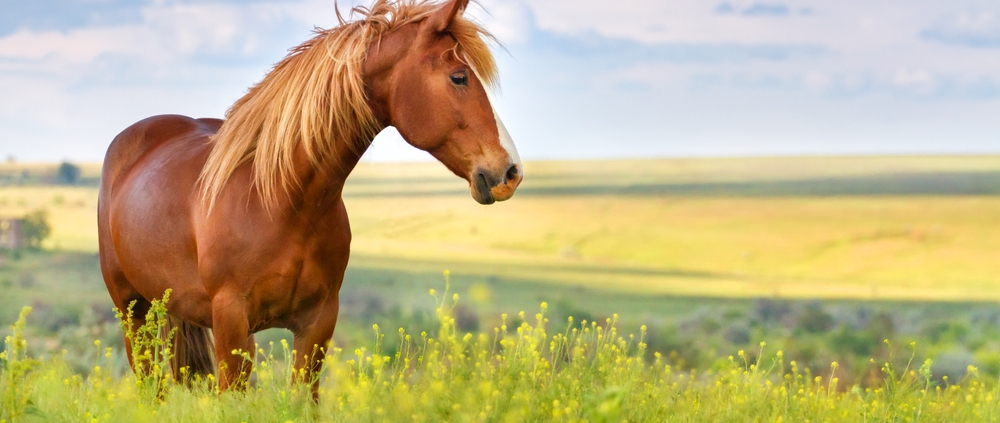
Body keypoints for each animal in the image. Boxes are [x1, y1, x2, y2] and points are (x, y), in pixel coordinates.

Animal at [98, 0, 524, 400]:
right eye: (459, 77)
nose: (510, 172)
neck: (281, 201)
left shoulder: (317, 323)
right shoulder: (232, 323)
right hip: (133, 314)